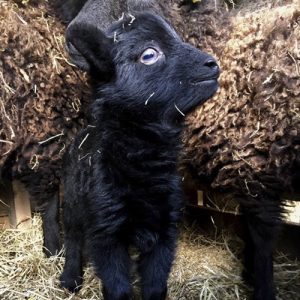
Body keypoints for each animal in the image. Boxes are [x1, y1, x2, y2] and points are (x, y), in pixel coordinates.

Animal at [59, 9, 219, 300]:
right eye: (149, 54)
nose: (213, 64)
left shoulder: (166, 226)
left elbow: (155, 285)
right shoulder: (106, 230)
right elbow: (118, 288)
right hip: (74, 200)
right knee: (73, 237)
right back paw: (70, 279)